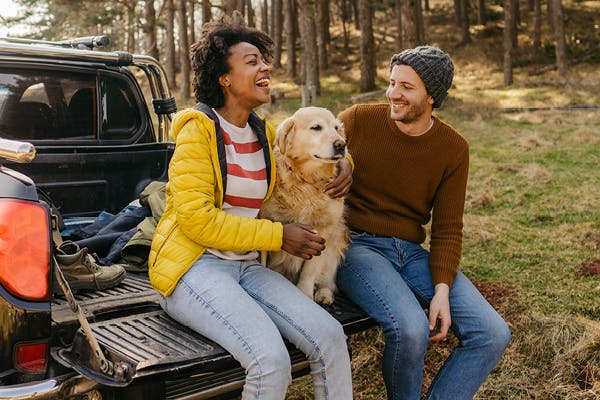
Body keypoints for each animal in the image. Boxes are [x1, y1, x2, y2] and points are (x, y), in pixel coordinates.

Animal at [260, 107, 350, 306]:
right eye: (316, 128)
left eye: (336, 128)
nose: (341, 144)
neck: (307, 181)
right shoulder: (266, 220)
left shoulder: (324, 230)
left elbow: (310, 270)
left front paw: (305, 293)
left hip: (336, 241)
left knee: (329, 280)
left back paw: (324, 294)